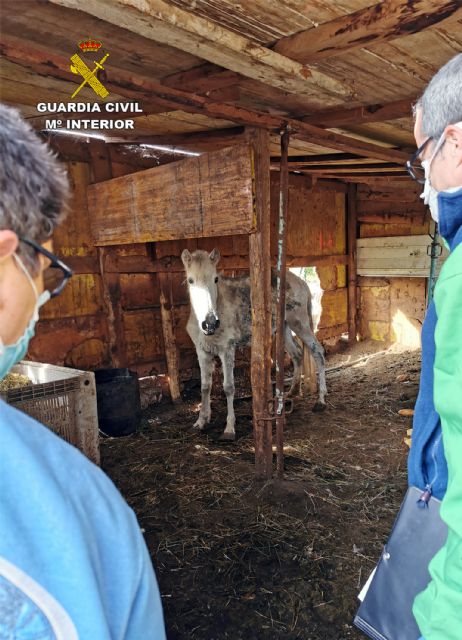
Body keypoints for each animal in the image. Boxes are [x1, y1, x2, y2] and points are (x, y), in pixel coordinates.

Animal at [182, 248, 327, 441]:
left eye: (215, 279)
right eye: (190, 280)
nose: (210, 323)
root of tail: (302, 282)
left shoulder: (227, 349)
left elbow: (228, 387)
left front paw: (229, 429)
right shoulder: (202, 351)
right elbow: (205, 386)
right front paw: (201, 421)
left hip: (300, 323)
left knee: (318, 351)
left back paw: (321, 400)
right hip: (284, 327)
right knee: (297, 354)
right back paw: (292, 391)